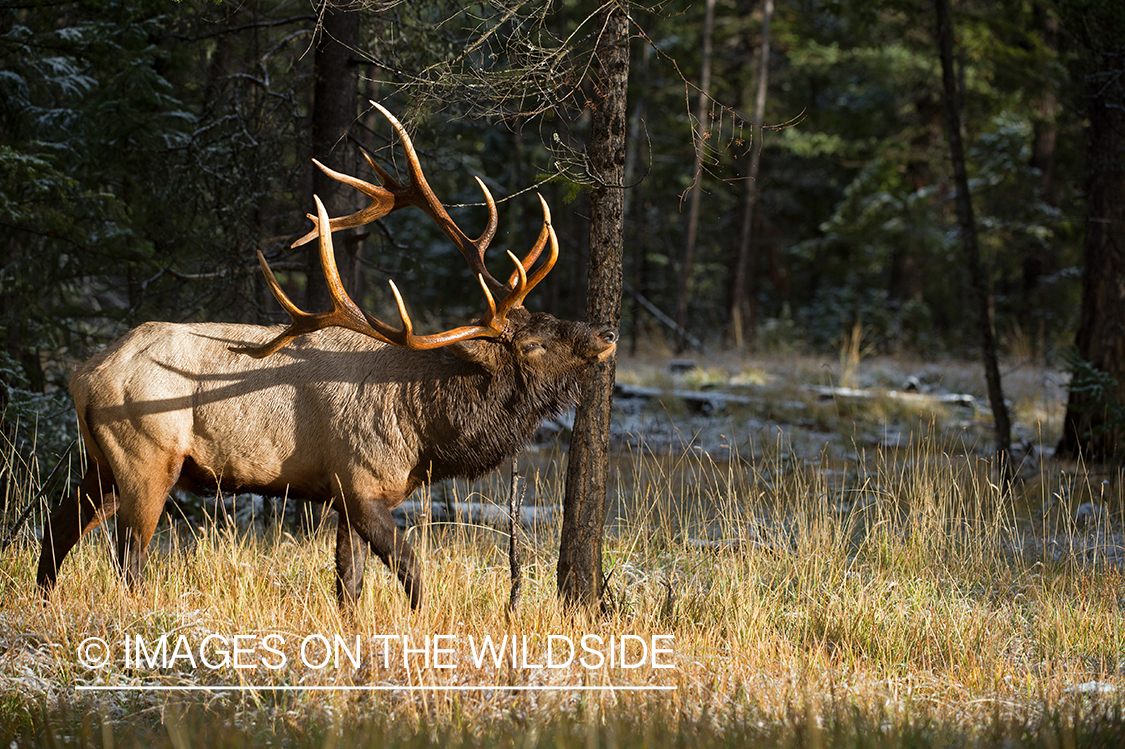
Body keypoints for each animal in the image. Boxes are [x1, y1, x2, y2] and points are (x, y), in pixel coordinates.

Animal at [37, 102, 616, 607]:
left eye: (552, 317)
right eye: (534, 344)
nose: (606, 333)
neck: (427, 429)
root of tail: (82, 375)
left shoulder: (347, 496)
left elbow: (348, 584)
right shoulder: (360, 483)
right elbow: (411, 569)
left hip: (104, 462)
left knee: (58, 523)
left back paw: (44, 600)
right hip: (147, 456)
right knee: (128, 554)